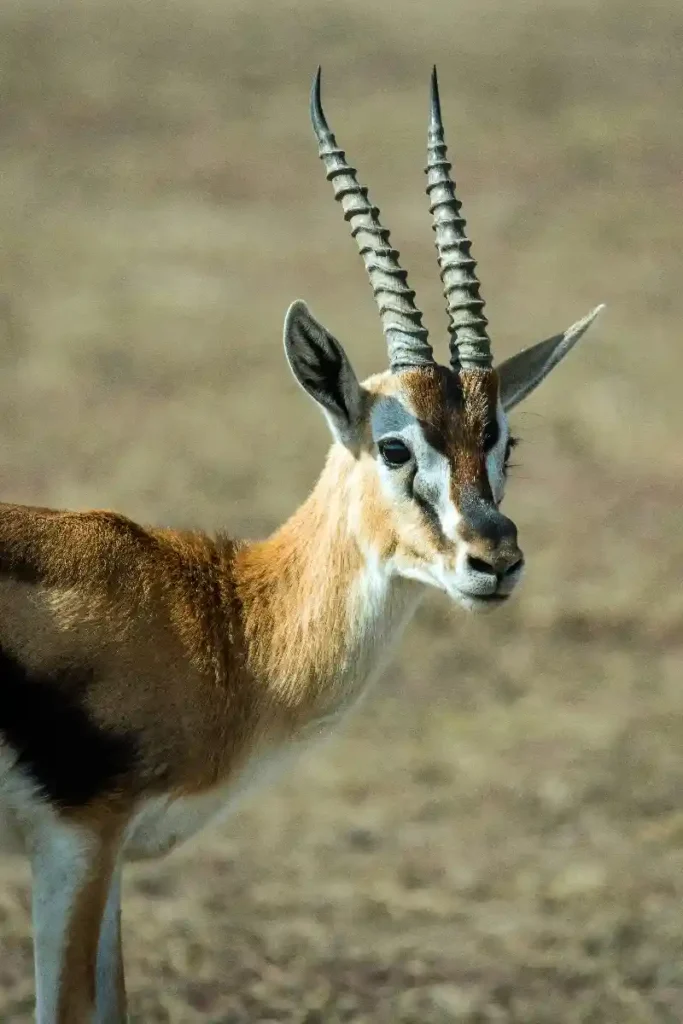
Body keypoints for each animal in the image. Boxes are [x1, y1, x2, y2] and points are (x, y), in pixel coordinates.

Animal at [0, 67, 603, 1023]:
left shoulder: (109, 857)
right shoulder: (77, 839)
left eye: (504, 441)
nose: (494, 561)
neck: (216, 616)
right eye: (394, 446)